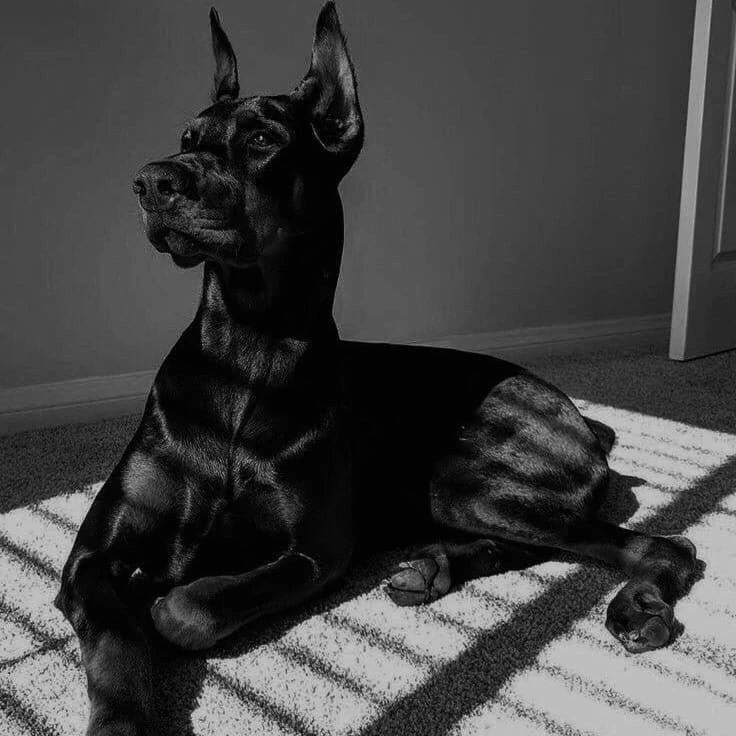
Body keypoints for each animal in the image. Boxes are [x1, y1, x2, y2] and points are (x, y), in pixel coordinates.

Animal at [57, 2, 696, 732]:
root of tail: (577, 412)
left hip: (457, 478)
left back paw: (637, 607)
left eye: (261, 139)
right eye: (186, 136)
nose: (150, 182)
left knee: (662, 546)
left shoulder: (317, 549)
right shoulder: (89, 558)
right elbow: (115, 637)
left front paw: (166, 599)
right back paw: (434, 567)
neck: (247, 346)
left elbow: (188, 608)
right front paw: (121, 712)